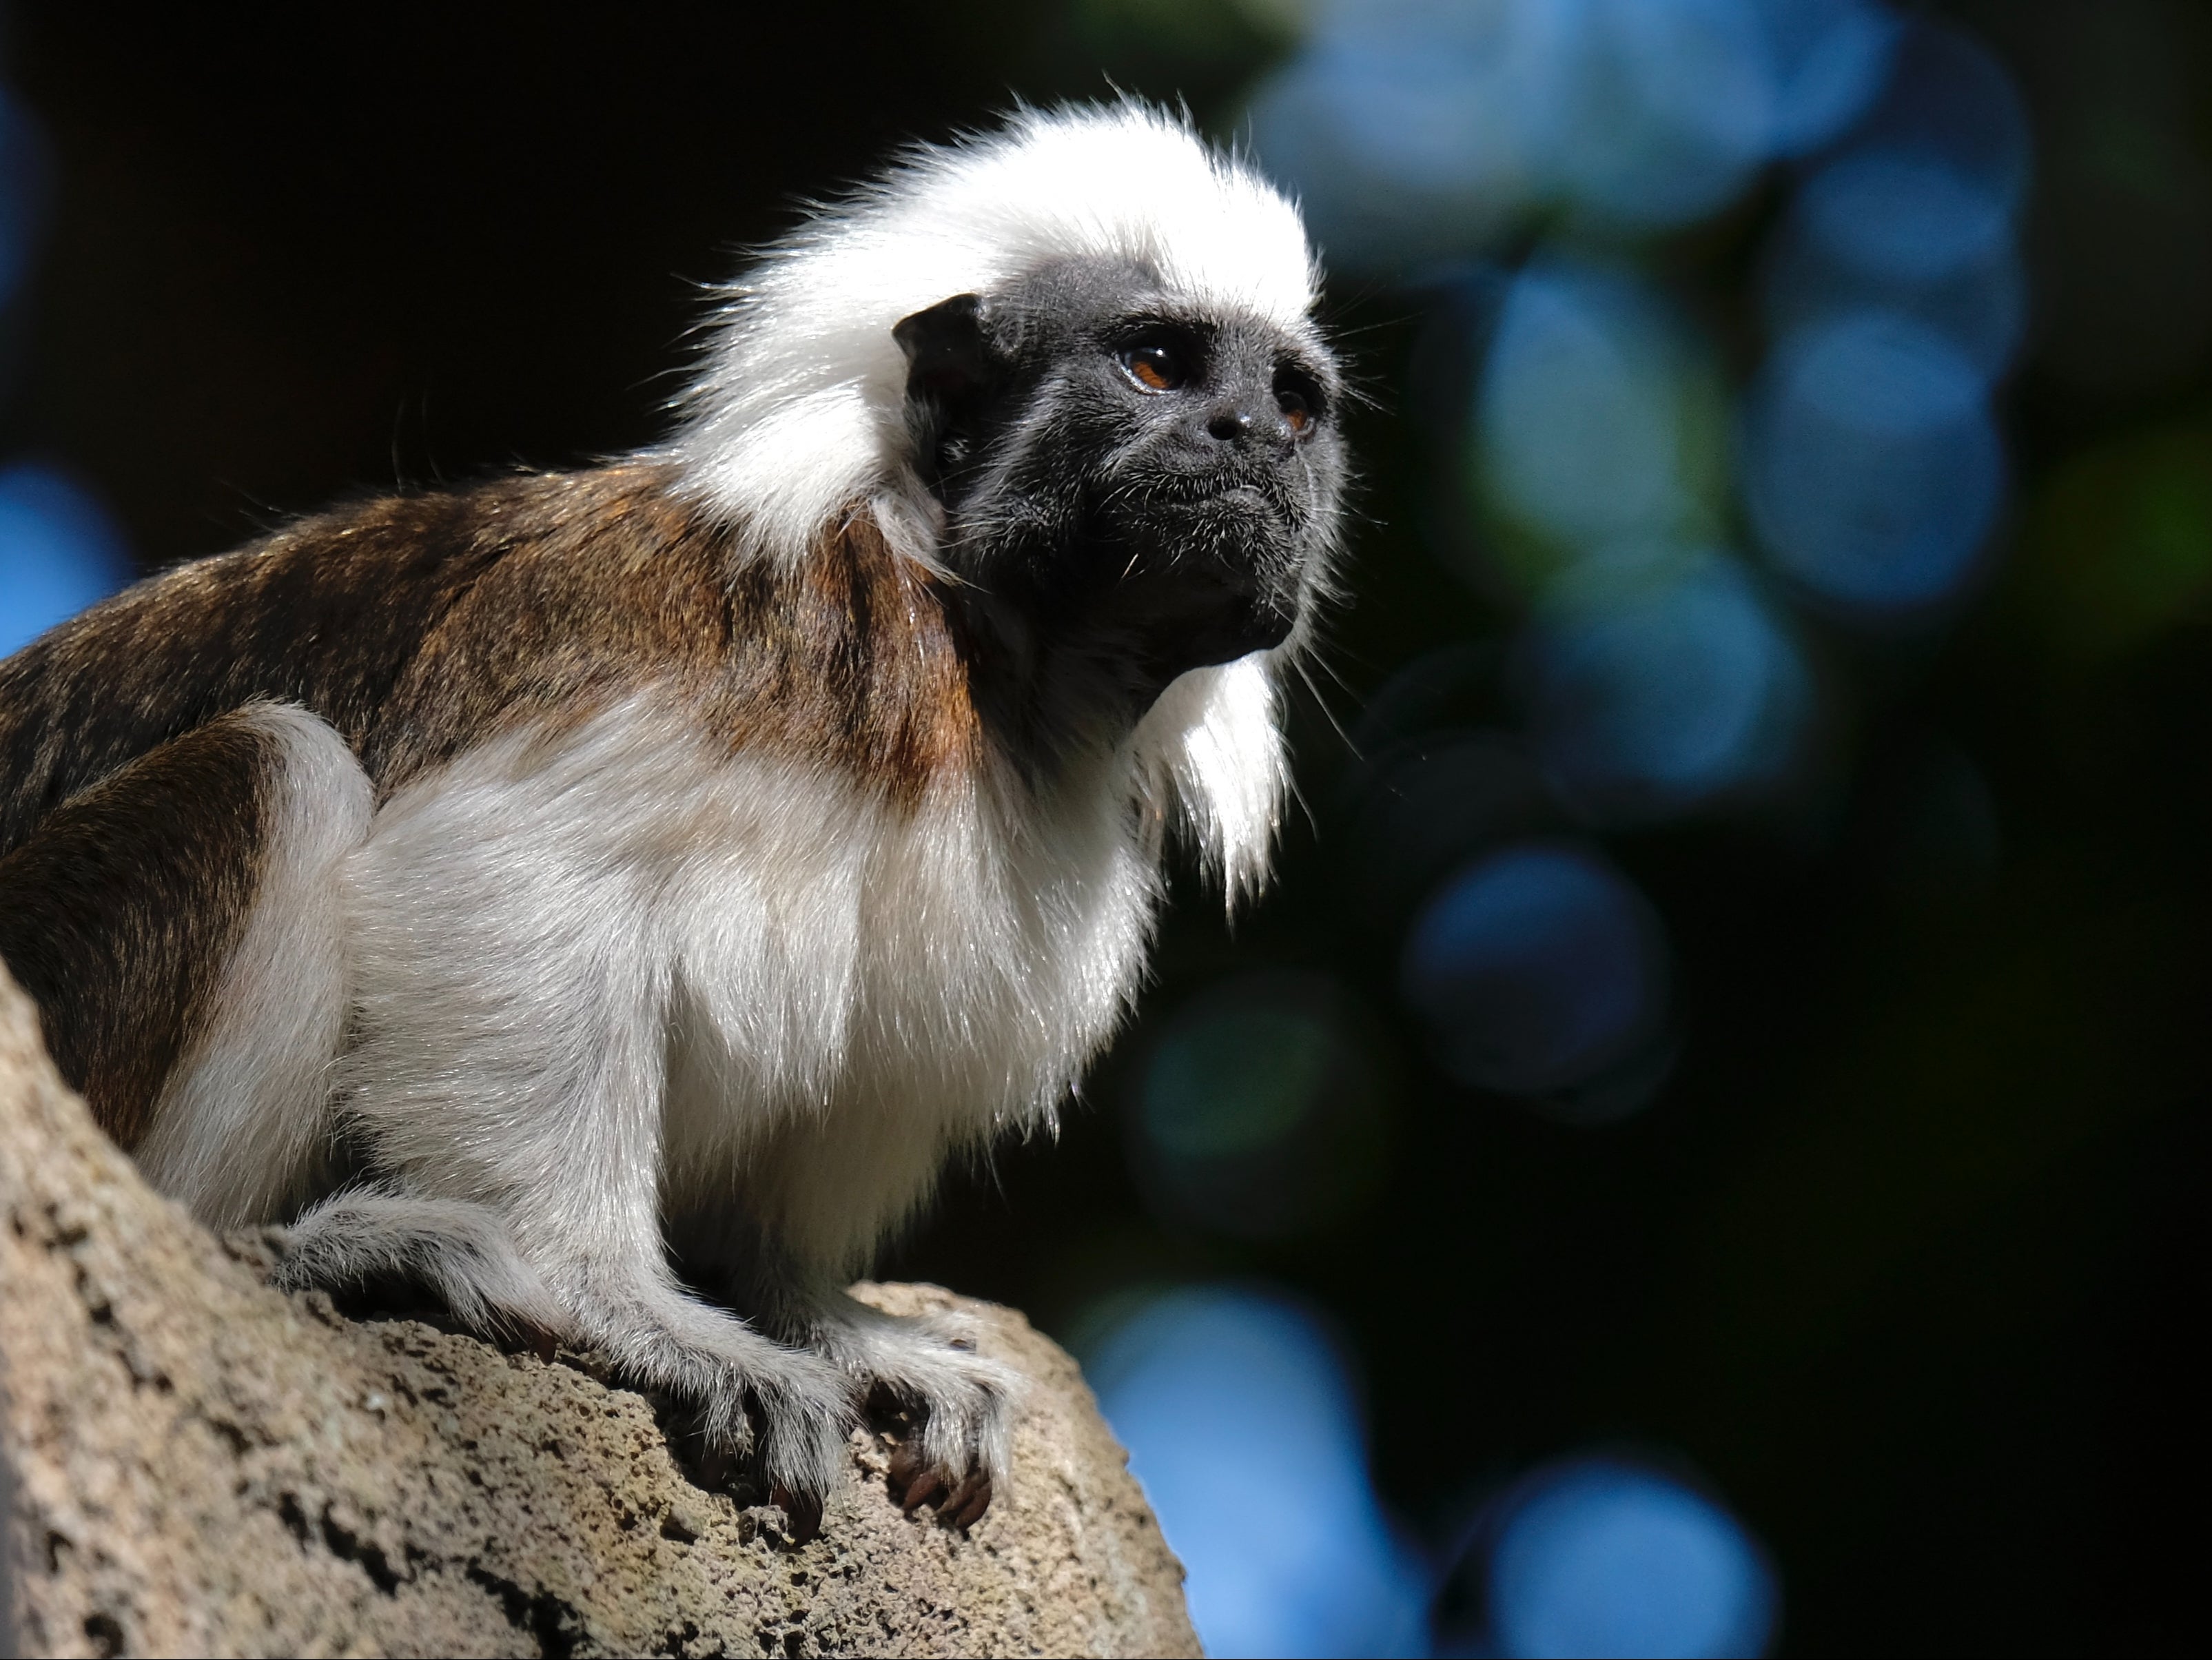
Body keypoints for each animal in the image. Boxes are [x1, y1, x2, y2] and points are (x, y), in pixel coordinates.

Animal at [0, 103, 1346, 1529]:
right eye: (1158, 364)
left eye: (1292, 400)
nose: (1251, 435)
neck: (992, 650)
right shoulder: (754, 647)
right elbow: (493, 865)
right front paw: (622, 1300)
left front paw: (819, 1312)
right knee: (276, 766)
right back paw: (289, 1250)